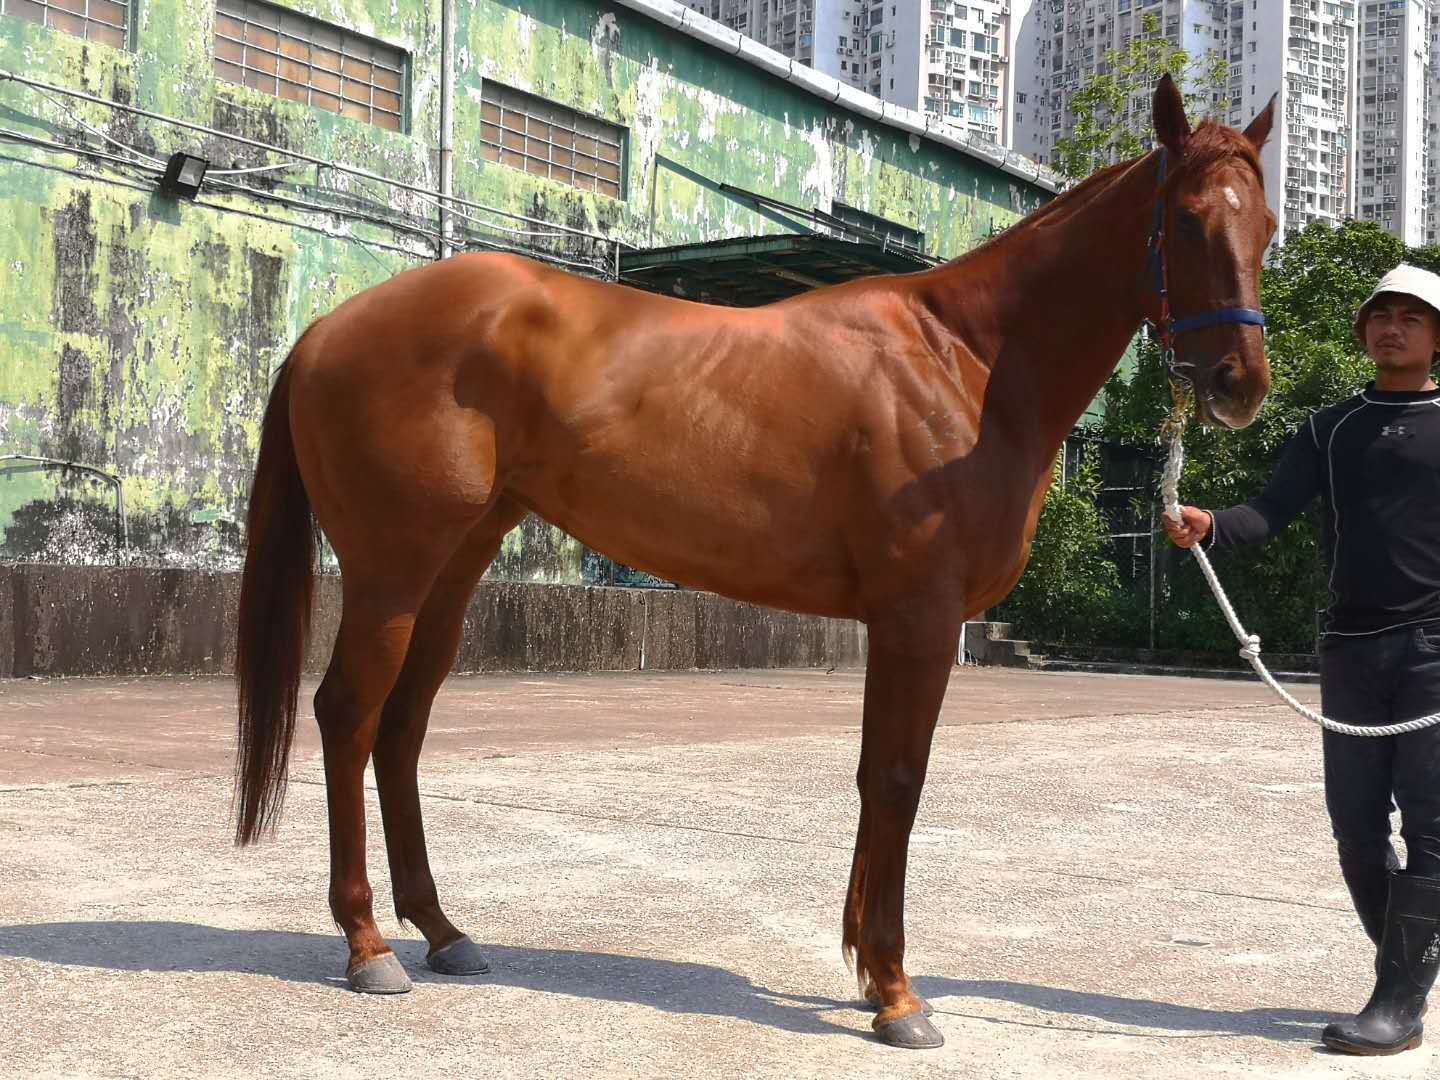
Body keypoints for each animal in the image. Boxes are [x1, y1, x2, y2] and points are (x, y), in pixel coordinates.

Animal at [233, 76, 1276, 1049]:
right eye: (1187, 218)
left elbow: (872, 777)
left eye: (1265, 224)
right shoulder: (920, 615)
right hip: (392, 570)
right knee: (349, 715)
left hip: (454, 568)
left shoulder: (900, 622)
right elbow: (898, 779)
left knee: (403, 728)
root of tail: (327, 329)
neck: (964, 363)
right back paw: (367, 946)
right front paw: (896, 995)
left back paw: (444, 933)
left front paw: (865, 969)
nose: (1240, 384)